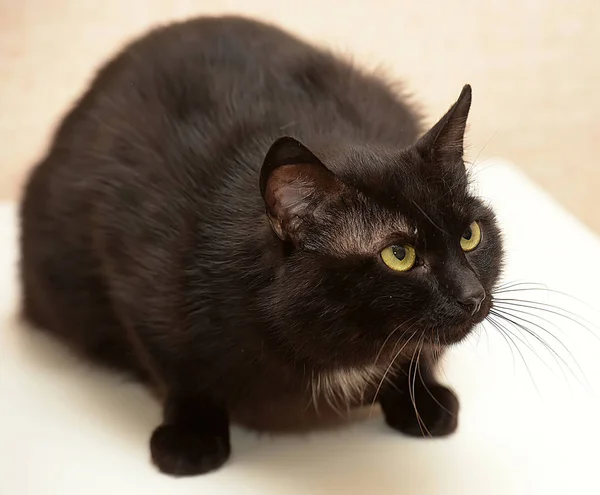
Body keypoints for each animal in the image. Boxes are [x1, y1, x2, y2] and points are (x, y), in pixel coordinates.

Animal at [19, 16, 502, 476]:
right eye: (399, 255)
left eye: (470, 235)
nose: (472, 296)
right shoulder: (141, 284)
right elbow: (179, 372)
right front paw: (191, 437)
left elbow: (417, 355)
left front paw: (420, 398)